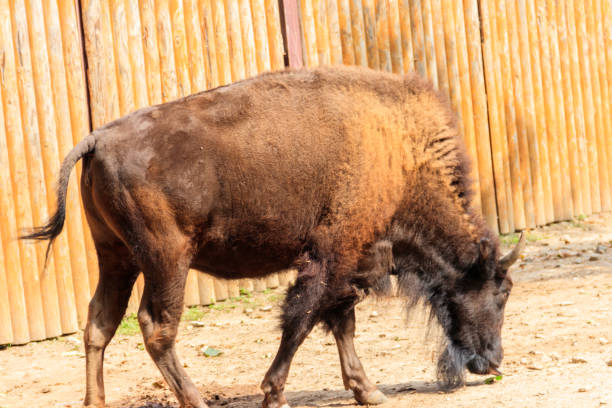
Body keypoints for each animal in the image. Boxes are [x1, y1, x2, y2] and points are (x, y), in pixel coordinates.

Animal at [21, 65, 524, 406]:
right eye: (500, 292)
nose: (492, 361)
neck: (401, 155)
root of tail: (99, 138)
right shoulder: (333, 256)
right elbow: (302, 319)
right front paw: (274, 392)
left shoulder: (348, 265)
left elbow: (340, 323)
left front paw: (368, 390)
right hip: (166, 259)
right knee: (156, 326)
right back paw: (196, 401)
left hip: (116, 257)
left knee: (99, 323)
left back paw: (96, 401)